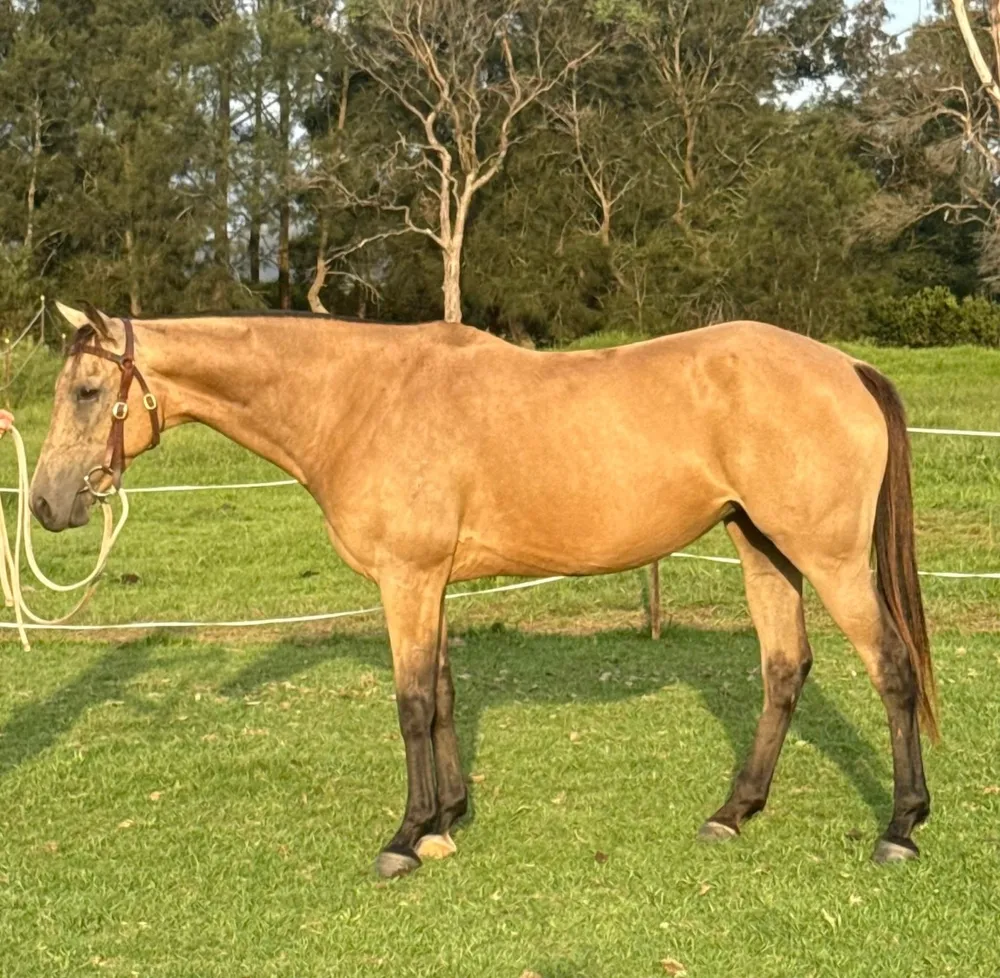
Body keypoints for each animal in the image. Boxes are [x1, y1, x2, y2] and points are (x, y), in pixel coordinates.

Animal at [29, 302, 937, 877]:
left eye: (86, 392)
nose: (45, 503)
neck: (360, 400)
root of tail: (847, 366)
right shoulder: (430, 583)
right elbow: (441, 695)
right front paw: (447, 818)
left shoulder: (406, 579)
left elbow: (409, 703)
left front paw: (406, 837)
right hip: (762, 548)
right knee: (784, 670)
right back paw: (733, 812)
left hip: (828, 559)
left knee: (892, 669)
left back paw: (900, 827)